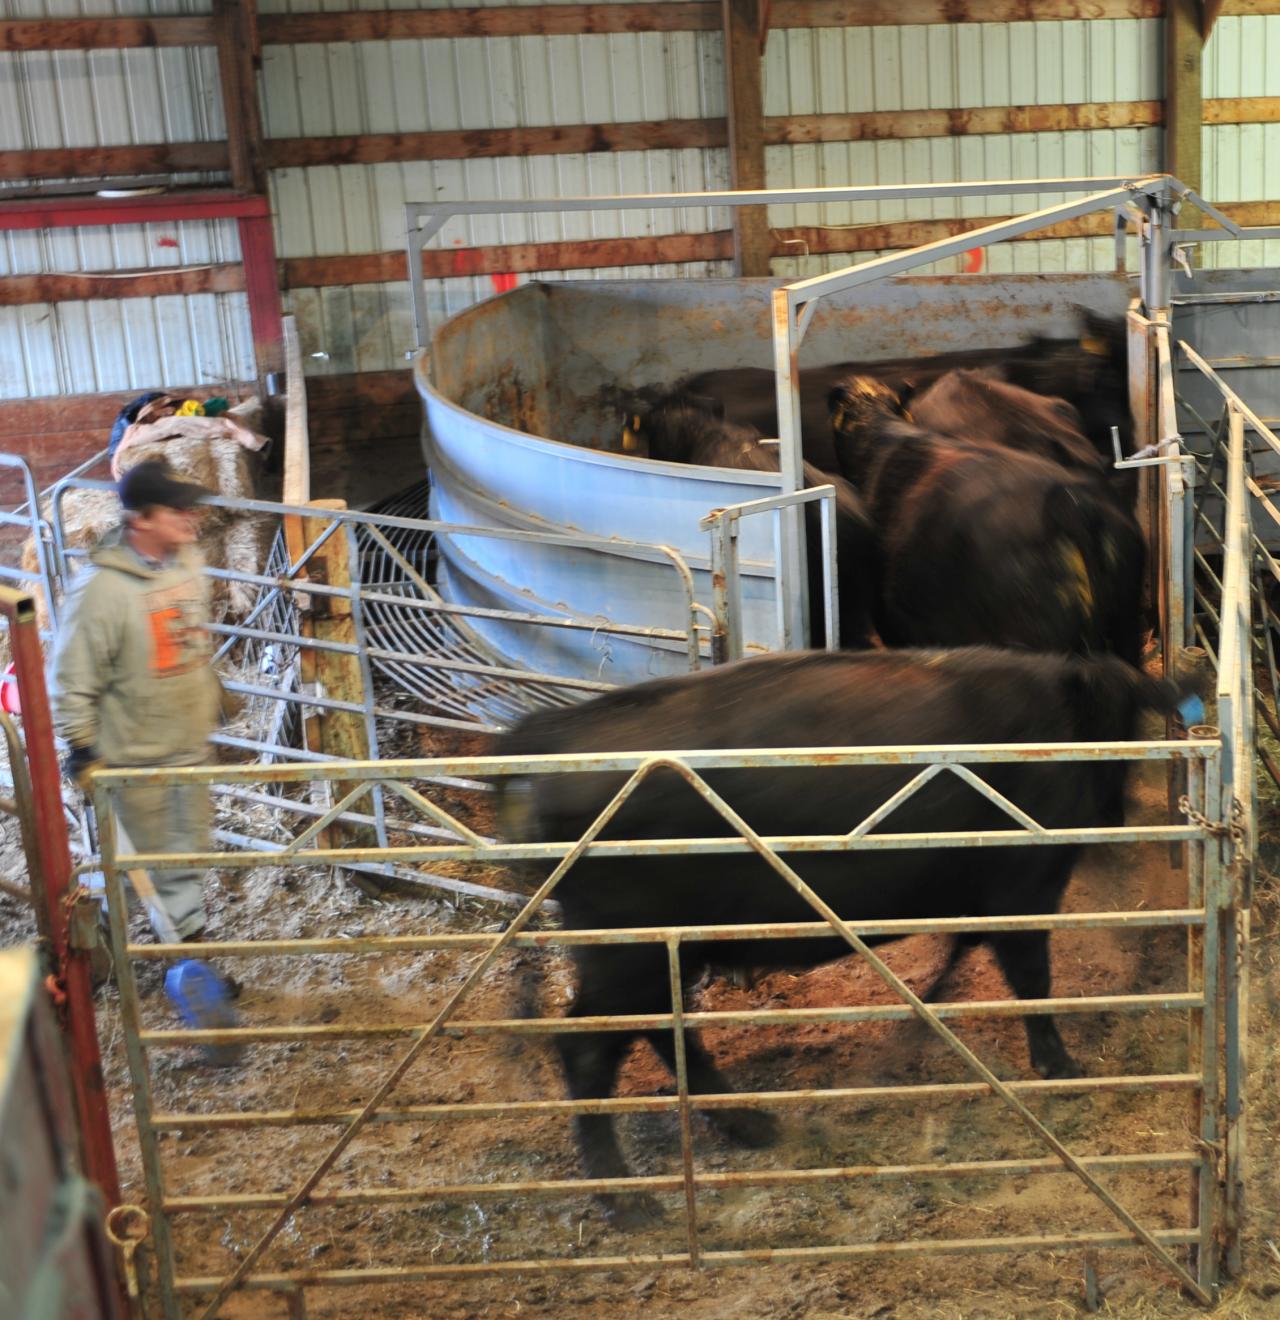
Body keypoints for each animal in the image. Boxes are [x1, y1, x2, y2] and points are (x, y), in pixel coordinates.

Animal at [494, 645, 1186, 1226]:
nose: (1112, 817)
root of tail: (552, 731)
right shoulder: (1024, 885)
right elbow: (1032, 976)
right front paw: (1060, 1066)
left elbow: (965, 952)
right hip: (624, 946)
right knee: (587, 1045)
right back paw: (627, 1201)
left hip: (663, 946)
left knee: (662, 1028)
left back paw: (750, 1124)